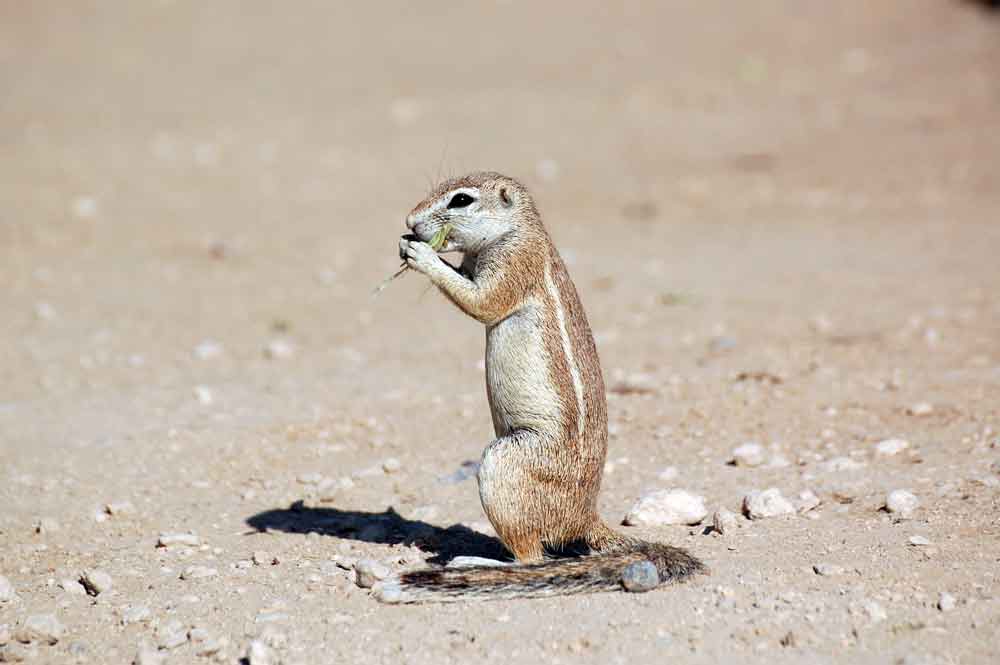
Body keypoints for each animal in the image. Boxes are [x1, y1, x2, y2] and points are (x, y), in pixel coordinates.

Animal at [376, 170, 704, 600]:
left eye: (461, 200)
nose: (410, 221)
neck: (516, 230)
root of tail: (584, 517)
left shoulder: (515, 263)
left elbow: (482, 302)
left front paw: (421, 254)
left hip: (505, 463)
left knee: (530, 557)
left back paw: (474, 562)